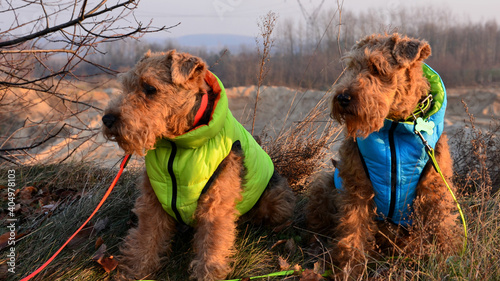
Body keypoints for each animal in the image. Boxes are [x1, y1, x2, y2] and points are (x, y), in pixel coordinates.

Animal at [103, 50, 294, 280]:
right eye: (126, 86)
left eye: (150, 88)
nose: (107, 119)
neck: (177, 145)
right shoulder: (152, 200)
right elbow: (146, 237)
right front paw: (135, 271)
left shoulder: (215, 205)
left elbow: (211, 248)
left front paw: (207, 274)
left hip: (274, 200)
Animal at [306, 32, 462, 276]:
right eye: (352, 66)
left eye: (377, 67)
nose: (342, 98)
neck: (395, 129)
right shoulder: (357, 186)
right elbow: (353, 230)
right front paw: (350, 268)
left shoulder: (435, 187)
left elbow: (442, 226)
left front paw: (447, 259)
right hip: (324, 184)